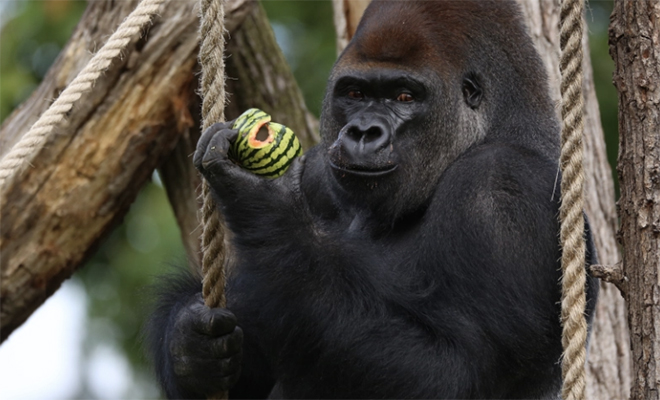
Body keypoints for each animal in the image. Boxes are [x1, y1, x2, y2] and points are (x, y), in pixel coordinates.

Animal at [144, 1, 600, 398]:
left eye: (404, 97)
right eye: (356, 94)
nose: (363, 132)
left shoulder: (503, 190)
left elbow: (455, 373)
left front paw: (263, 203)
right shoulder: (318, 170)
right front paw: (190, 345)